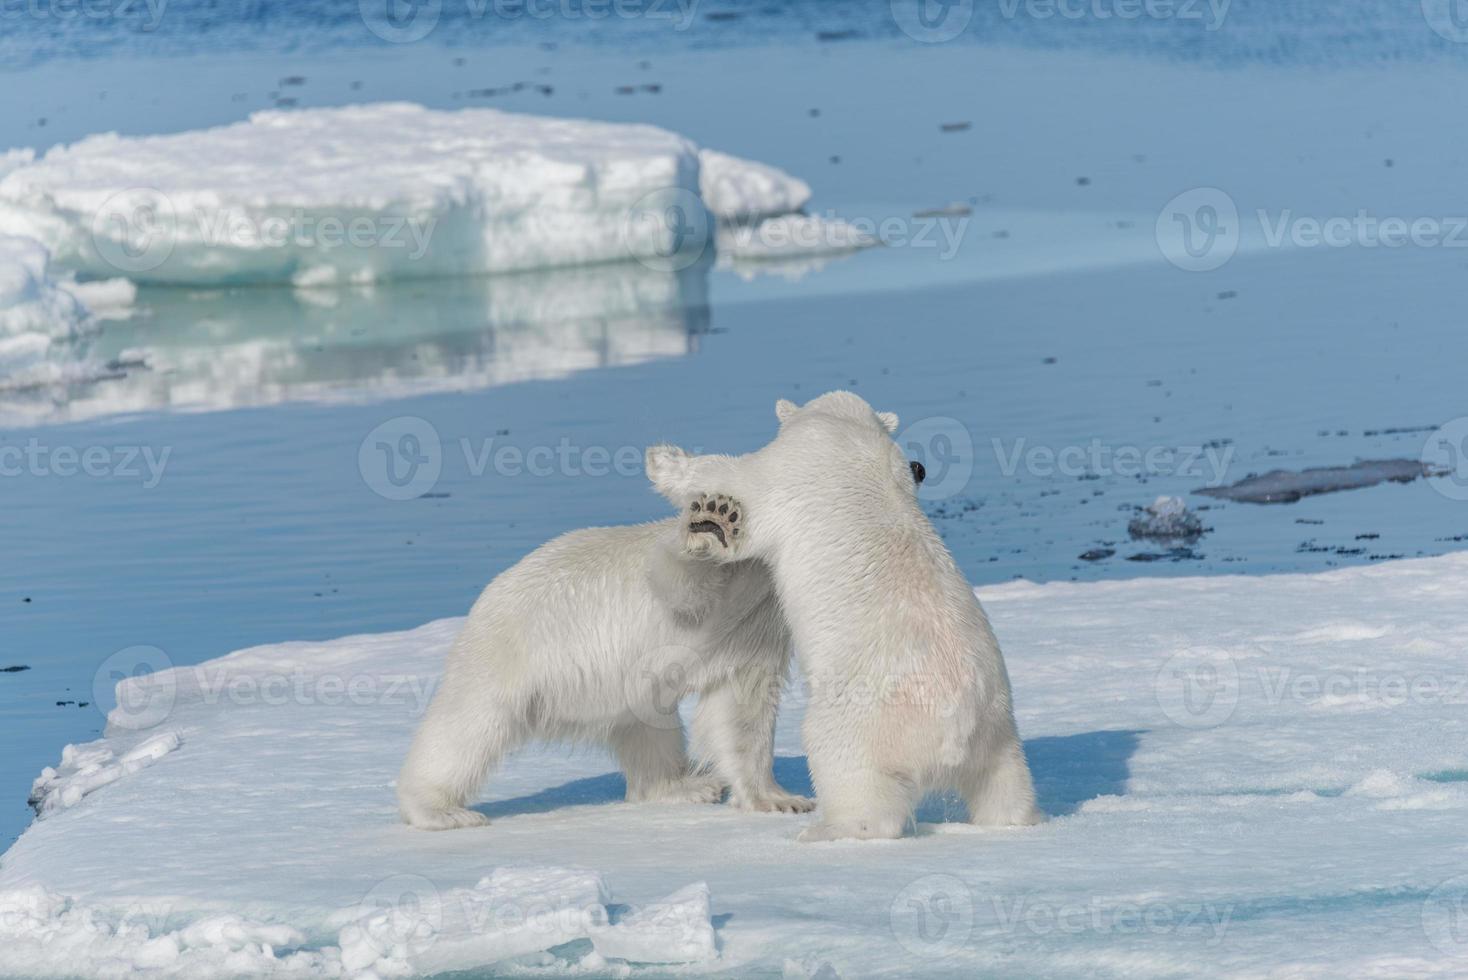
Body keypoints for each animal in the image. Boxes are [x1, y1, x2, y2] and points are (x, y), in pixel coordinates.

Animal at [396, 478, 816, 833]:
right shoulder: (719, 583)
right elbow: (677, 581)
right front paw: (712, 522)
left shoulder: (757, 620)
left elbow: (741, 705)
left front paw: (780, 800)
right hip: (509, 653)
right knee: (467, 728)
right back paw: (441, 811)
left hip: (620, 692)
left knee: (650, 730)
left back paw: (686, 786)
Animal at [651, 390, 1045, 845]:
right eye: (916, 468)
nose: (921, 469)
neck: (850, 429)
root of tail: (956, 726)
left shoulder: (795, 464)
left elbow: (739, 479)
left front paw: (664, 461)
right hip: (997, 729)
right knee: (1004, 785)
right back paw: (1015, 820)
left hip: (864, 717)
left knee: (847, 769)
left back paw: (827, 829)